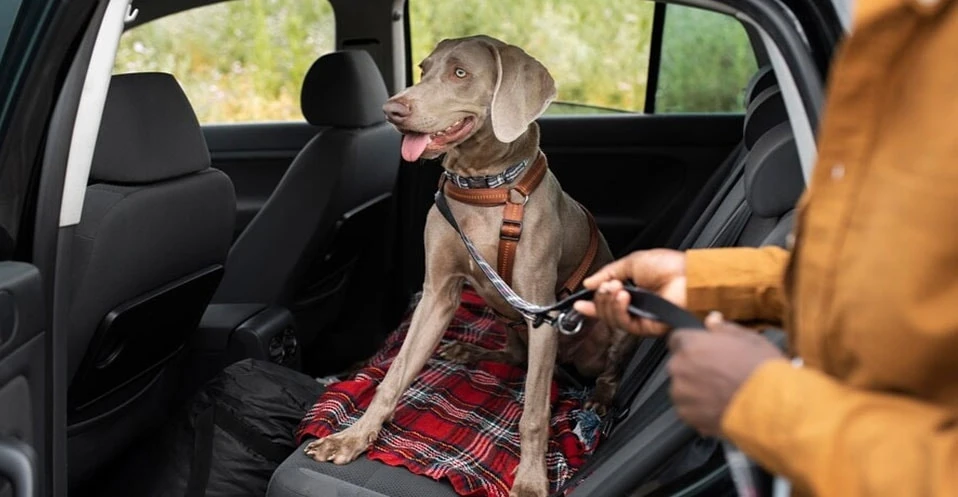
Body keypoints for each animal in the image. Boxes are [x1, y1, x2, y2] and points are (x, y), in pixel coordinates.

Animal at [308, 35, 636, 496]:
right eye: (424, 69)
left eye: (460, 73)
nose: (391, 110)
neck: (483, 188)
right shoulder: (437, 294)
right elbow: (394, 376)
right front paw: (351, 438)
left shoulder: (541, 315)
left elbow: (534, 414)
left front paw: (530, 481)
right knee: (513, 355)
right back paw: (468, 349)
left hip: (610, 324)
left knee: (605, 374)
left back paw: (598, 401)